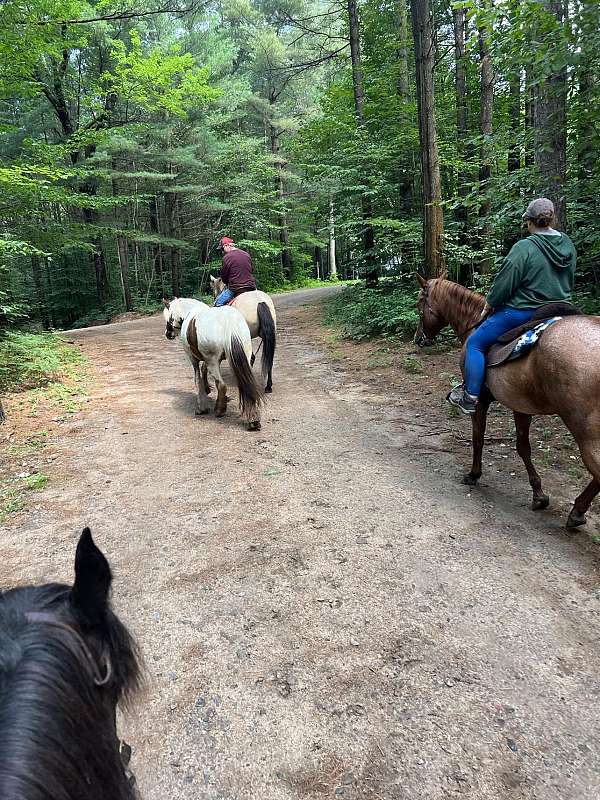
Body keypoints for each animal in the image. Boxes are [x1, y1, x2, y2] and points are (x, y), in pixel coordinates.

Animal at [163, 296, 264, 432]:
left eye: (168, 317)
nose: (168, 334)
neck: (189, 313)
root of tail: (229, 322)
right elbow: (204, 370)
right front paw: (208, 389)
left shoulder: (194, 359)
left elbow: (197, 378)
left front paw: (201, 407)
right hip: (244, 357)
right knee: (246, 383)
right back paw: (253, 419)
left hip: (213, 361)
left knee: (222, 385)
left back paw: (220, 410)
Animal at [412, 276, 600, 532]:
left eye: (420, 304)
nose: (418, 339)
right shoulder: (521, 405)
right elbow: (523, 447)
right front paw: (538, 494)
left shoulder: (481, 402)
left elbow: (478, 438)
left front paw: (474, 474)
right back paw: (577, 511)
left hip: (586, 433)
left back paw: (578, 511)